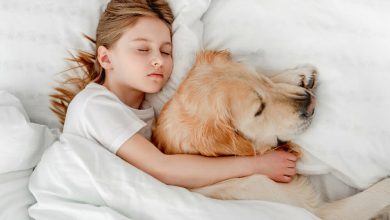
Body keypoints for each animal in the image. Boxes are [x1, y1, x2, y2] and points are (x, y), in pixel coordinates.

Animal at [152, 50, 390, 219]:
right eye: (258, 110)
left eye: (261, 78)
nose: (310, 103)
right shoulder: (316, 211)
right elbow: (378, 193)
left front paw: (298, 76)